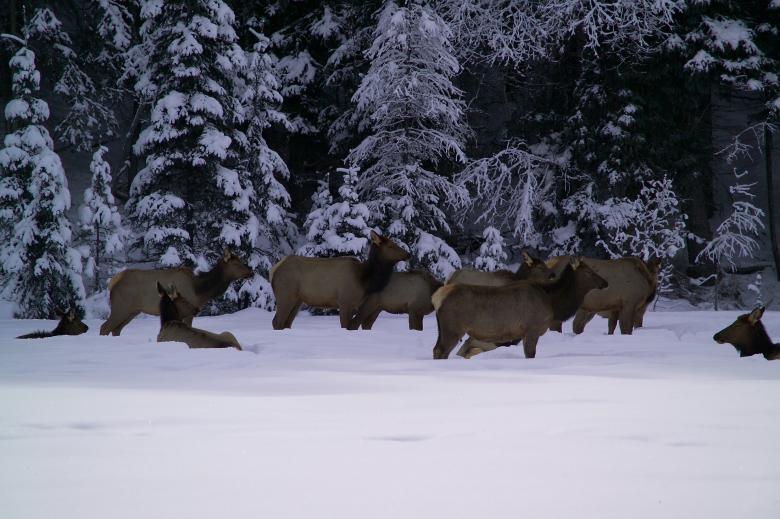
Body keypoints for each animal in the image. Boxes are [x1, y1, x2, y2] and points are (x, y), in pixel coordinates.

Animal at [100, 249, 253, 336]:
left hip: (132, 311)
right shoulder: (188, 311)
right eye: (236, 264)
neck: (200, 291)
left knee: (116, 330)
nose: (251, 272)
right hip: (120, 307)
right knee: (105, 327)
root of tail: (113, 282)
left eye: (240, 260)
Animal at [270, 231, 410, 329]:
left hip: (297, 300)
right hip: (285, 294)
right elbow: (346, 326)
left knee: (287, 323)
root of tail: (274, 270)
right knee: (277, 321)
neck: (365, 280)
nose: (409, 254)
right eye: (391, 246)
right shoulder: (345, 301)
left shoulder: (355, 304)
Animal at [431, 258, 608, 360]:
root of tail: (437, 297)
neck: (553, 302)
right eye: (588, 271)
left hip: (443, 329)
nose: (605, 282)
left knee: (436, 350)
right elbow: (530, 354)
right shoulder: (532, 328)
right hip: (453, 329)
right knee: (441, 351)